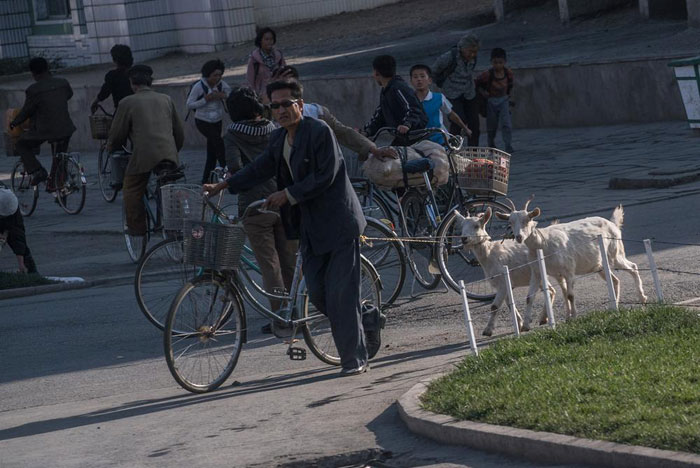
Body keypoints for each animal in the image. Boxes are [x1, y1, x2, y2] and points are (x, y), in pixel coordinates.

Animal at [456, 208, 556, 336]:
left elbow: (494, 306)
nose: (464, 238)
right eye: (462, 226)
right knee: (551, 290)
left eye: (476, 226)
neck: (489, 255)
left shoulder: (503, 281)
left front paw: (488, 330)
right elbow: (509, 303)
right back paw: (543, 318)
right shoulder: (504, 282)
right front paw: (519, 323)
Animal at [494, 196, 648, 324]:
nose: (519, 237)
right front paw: (526, 325)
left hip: (616, 254)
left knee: (633, 267)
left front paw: (573, 317)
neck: (543, 243)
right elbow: (531, 297)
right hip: (599, 265)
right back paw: (613, 306)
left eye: (527, 220)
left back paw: (642, 299)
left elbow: (570, 295)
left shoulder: (569, 270)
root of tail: (613, 224)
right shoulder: (541, 272)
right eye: (510, 222)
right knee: (615, 280)